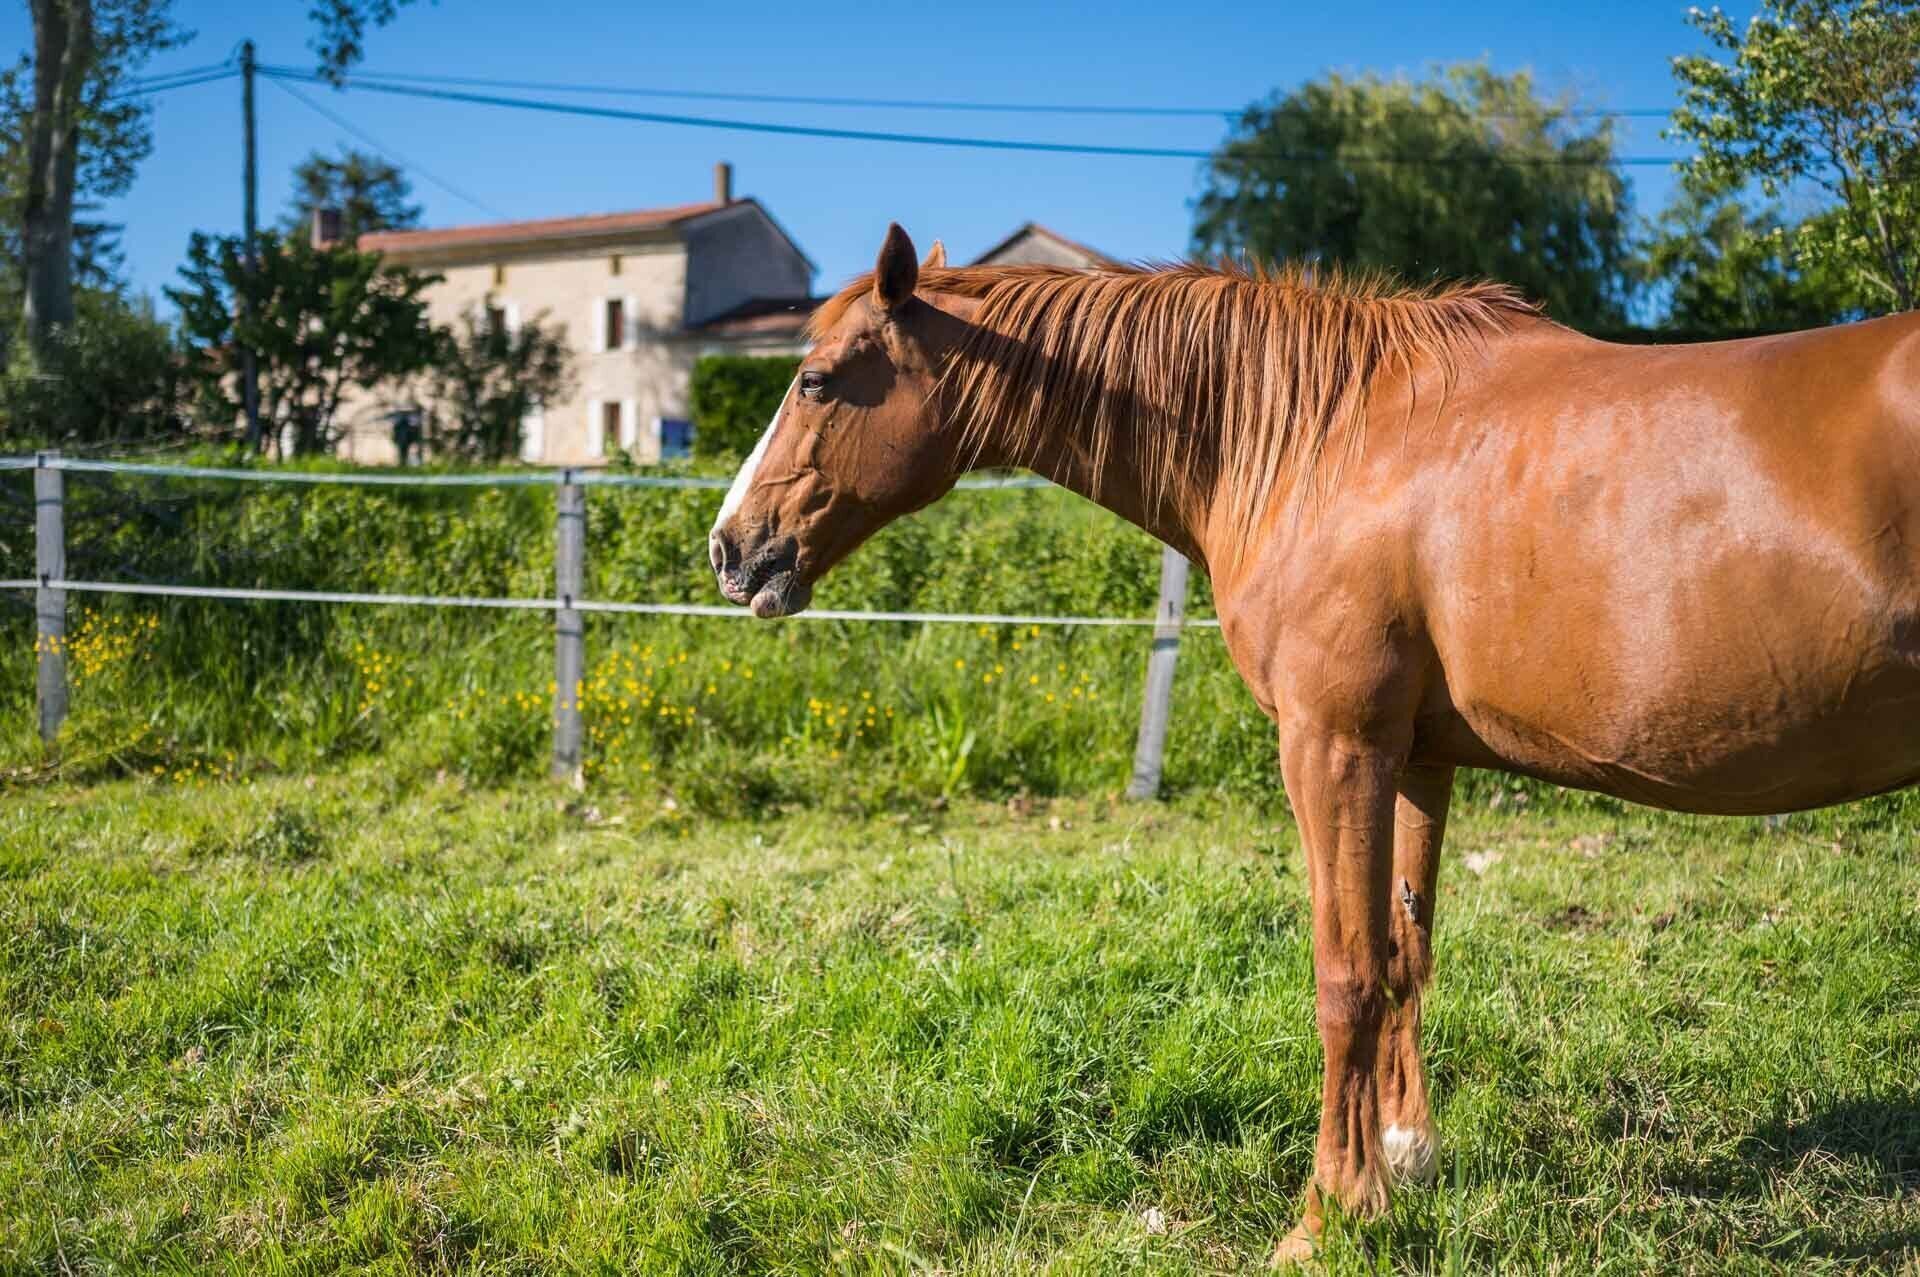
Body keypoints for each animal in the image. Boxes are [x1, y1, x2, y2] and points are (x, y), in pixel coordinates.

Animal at [707, 223, 1920, 1263]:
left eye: (817, 379)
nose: (730, 548)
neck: (1326, 440)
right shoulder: (1417, 757)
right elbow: (1405, 950)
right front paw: (1406, 1156)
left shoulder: (1333, 748)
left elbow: (1345, 975)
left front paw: (1332, 1211)